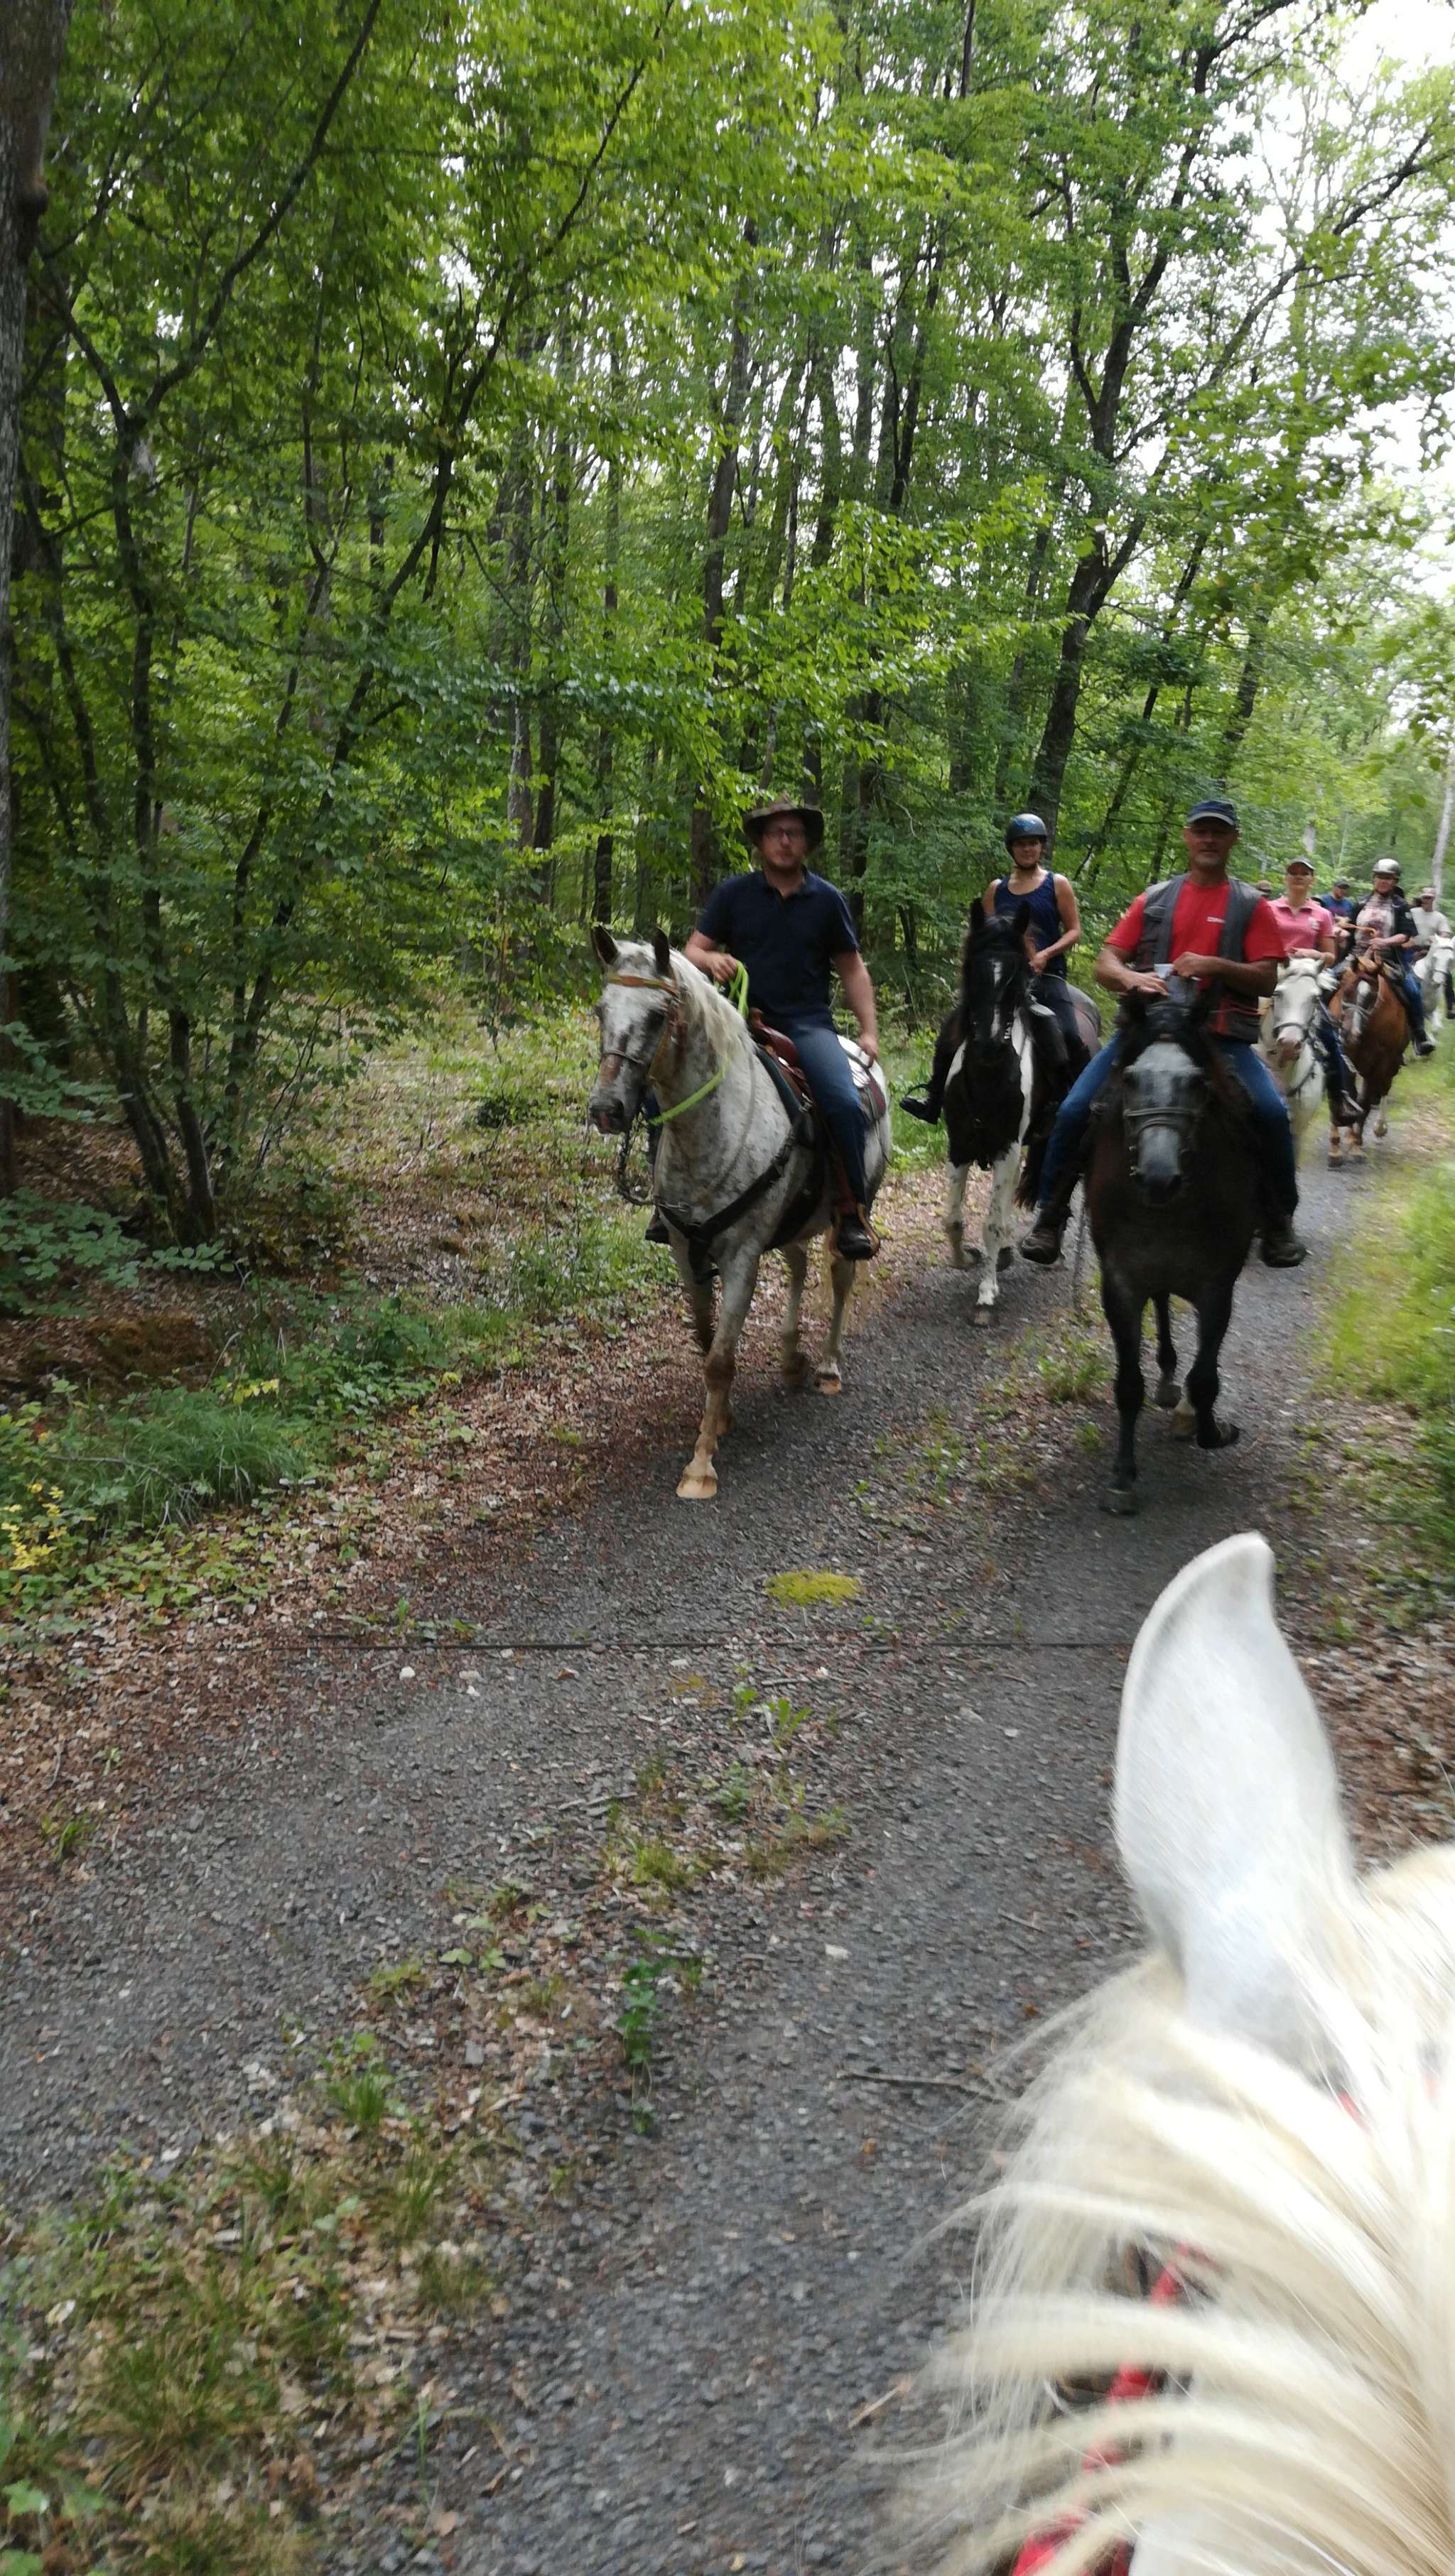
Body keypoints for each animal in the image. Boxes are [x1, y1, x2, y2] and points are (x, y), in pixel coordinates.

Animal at [587, 928, 890, 1501]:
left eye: (658, 1016)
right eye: (600, 1009)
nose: (607, 1109)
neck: (709, 1128)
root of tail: (861, 1060)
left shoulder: (743, 1256)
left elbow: (721, 1360)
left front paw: (701, 1465)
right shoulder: (687, 1251)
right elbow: (707, 1340)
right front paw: (722, 1417)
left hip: (853, 1211)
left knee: (840, 1277)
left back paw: (828, 1366)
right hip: (794, 1220)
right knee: (798, 1266)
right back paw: (792, 1357)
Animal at [938, 904, 1100, 1324]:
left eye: (1016, 975)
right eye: (974, 970)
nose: (991, 1044)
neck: (989, 1076)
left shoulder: (1007, 1147)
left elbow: (993, 1222)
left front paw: (985, 1296)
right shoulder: (960, 1145)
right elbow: (954, 1218)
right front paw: (967, 1260)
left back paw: (1046, 1248)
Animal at [1083, 990, 1257, 1516]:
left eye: (1198, 1082)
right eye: (1131, 1079)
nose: (1159, 1177)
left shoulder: (1217, 1288)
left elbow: (1205, 1380)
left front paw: (1211, 1430)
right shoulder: (1120, 1284)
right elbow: (1127, 1384)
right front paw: (1122, 1478)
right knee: (1160, 1302)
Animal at [1328, 949, 1408, 1159]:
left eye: (1372, 996)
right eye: (1346, 990)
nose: (1350, 1034)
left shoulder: (1382, 1063)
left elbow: (1364, 1101)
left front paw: (1356, 1144)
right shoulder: (1344, 1057)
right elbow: (1343, 1093)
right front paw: (1335, 1147)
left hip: (1388, 1065)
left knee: (1381, 1090)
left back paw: (1376, 1129)